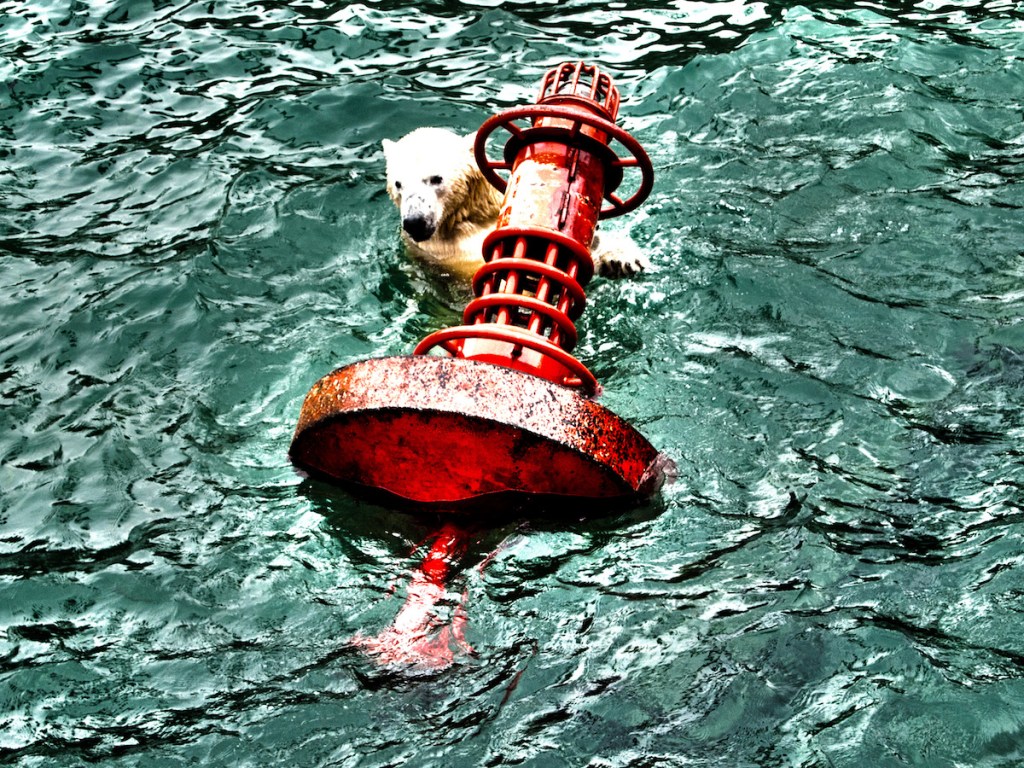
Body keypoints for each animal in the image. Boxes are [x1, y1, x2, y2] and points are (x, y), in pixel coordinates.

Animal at [382, 127, 649, 282]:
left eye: (436, 178)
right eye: (398, 184)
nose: (415, 222)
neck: (466, 218)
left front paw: (625, 259)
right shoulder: (452, 255)